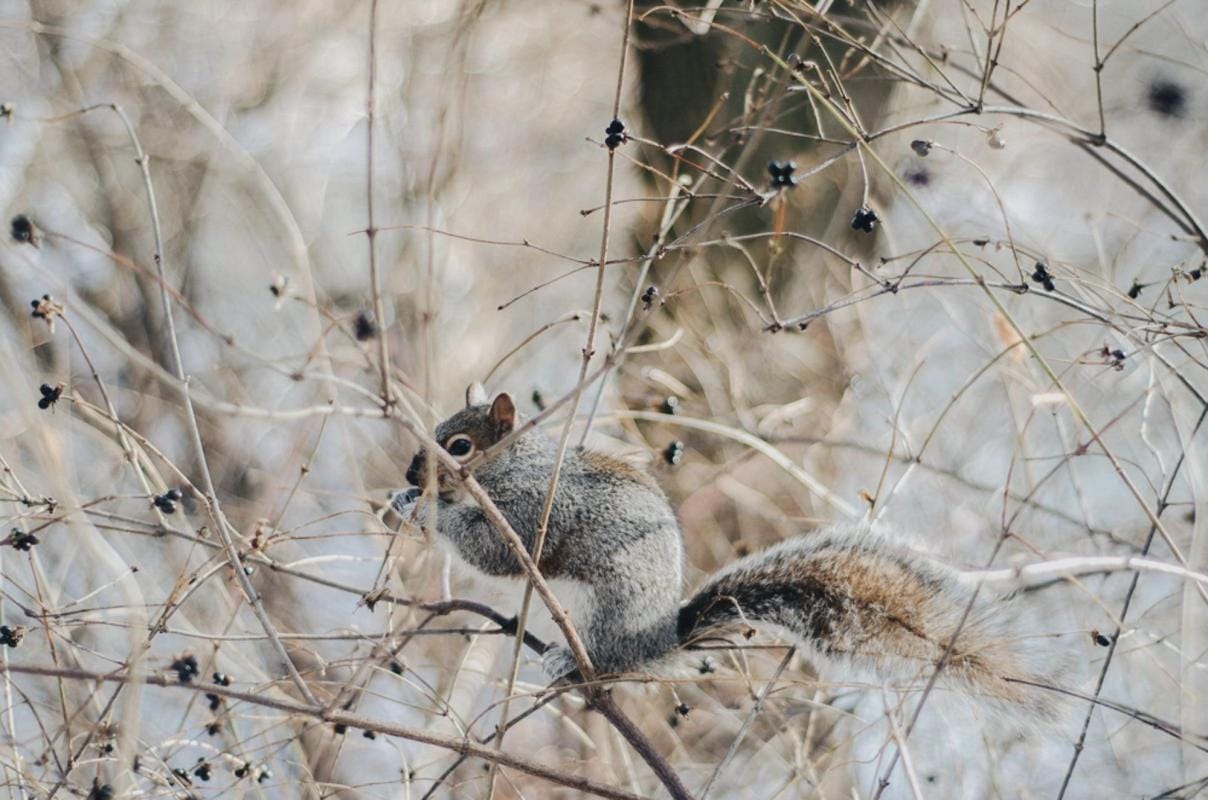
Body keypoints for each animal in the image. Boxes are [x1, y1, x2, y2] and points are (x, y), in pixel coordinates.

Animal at [392, 388, 1059, 718]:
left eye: (458, 444)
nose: (410, 472)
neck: (510, 469)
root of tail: (659, 639)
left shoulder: (538, 510)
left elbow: (496, 551)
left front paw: (429, 511)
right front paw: (402, 501)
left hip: (608, 612)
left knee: (610, 663)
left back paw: (572, 665)